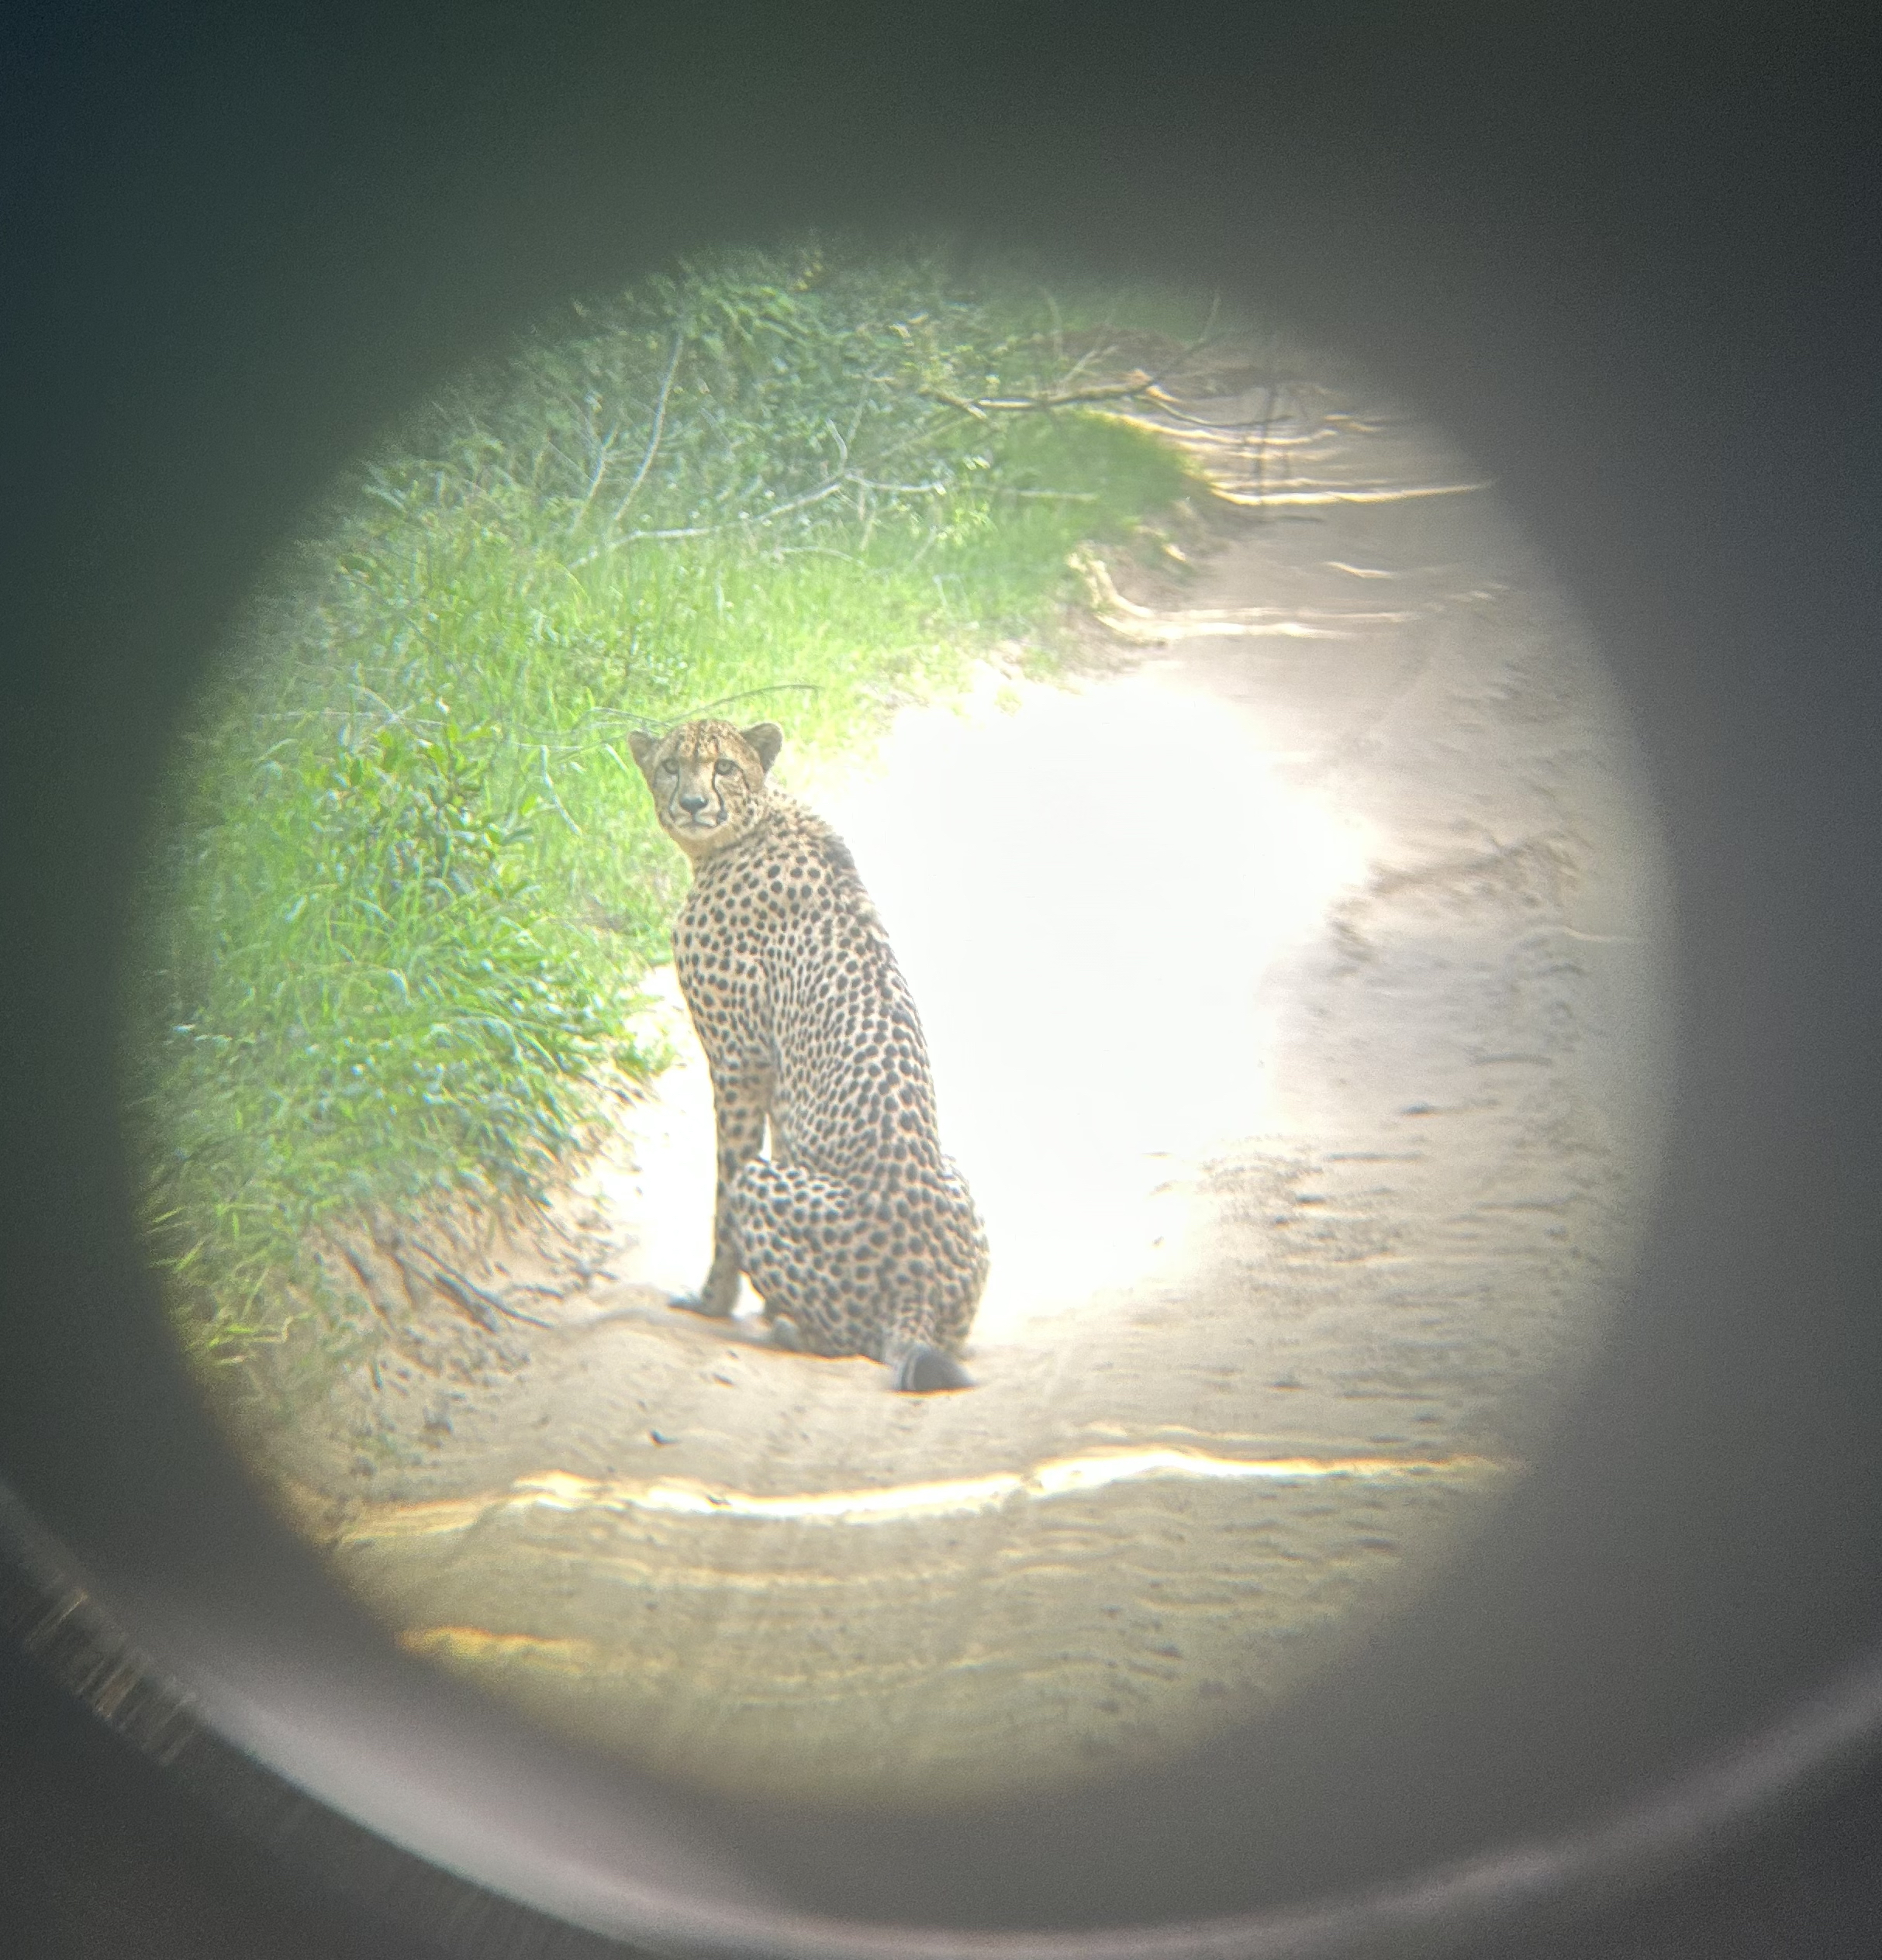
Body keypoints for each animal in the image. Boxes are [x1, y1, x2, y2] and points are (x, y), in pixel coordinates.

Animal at [627, 718, 988, 1392]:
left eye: (723, 767)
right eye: (669, 766)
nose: (691, 803)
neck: (750, 824)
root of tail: (918, 1295)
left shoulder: (738, 1063)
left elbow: (722, 1195)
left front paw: (713, 1302)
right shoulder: (766, 1076)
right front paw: (756, 1304)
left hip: (767, 1187)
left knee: (844, 1334)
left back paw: (794, 1329)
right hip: (958, 1180)